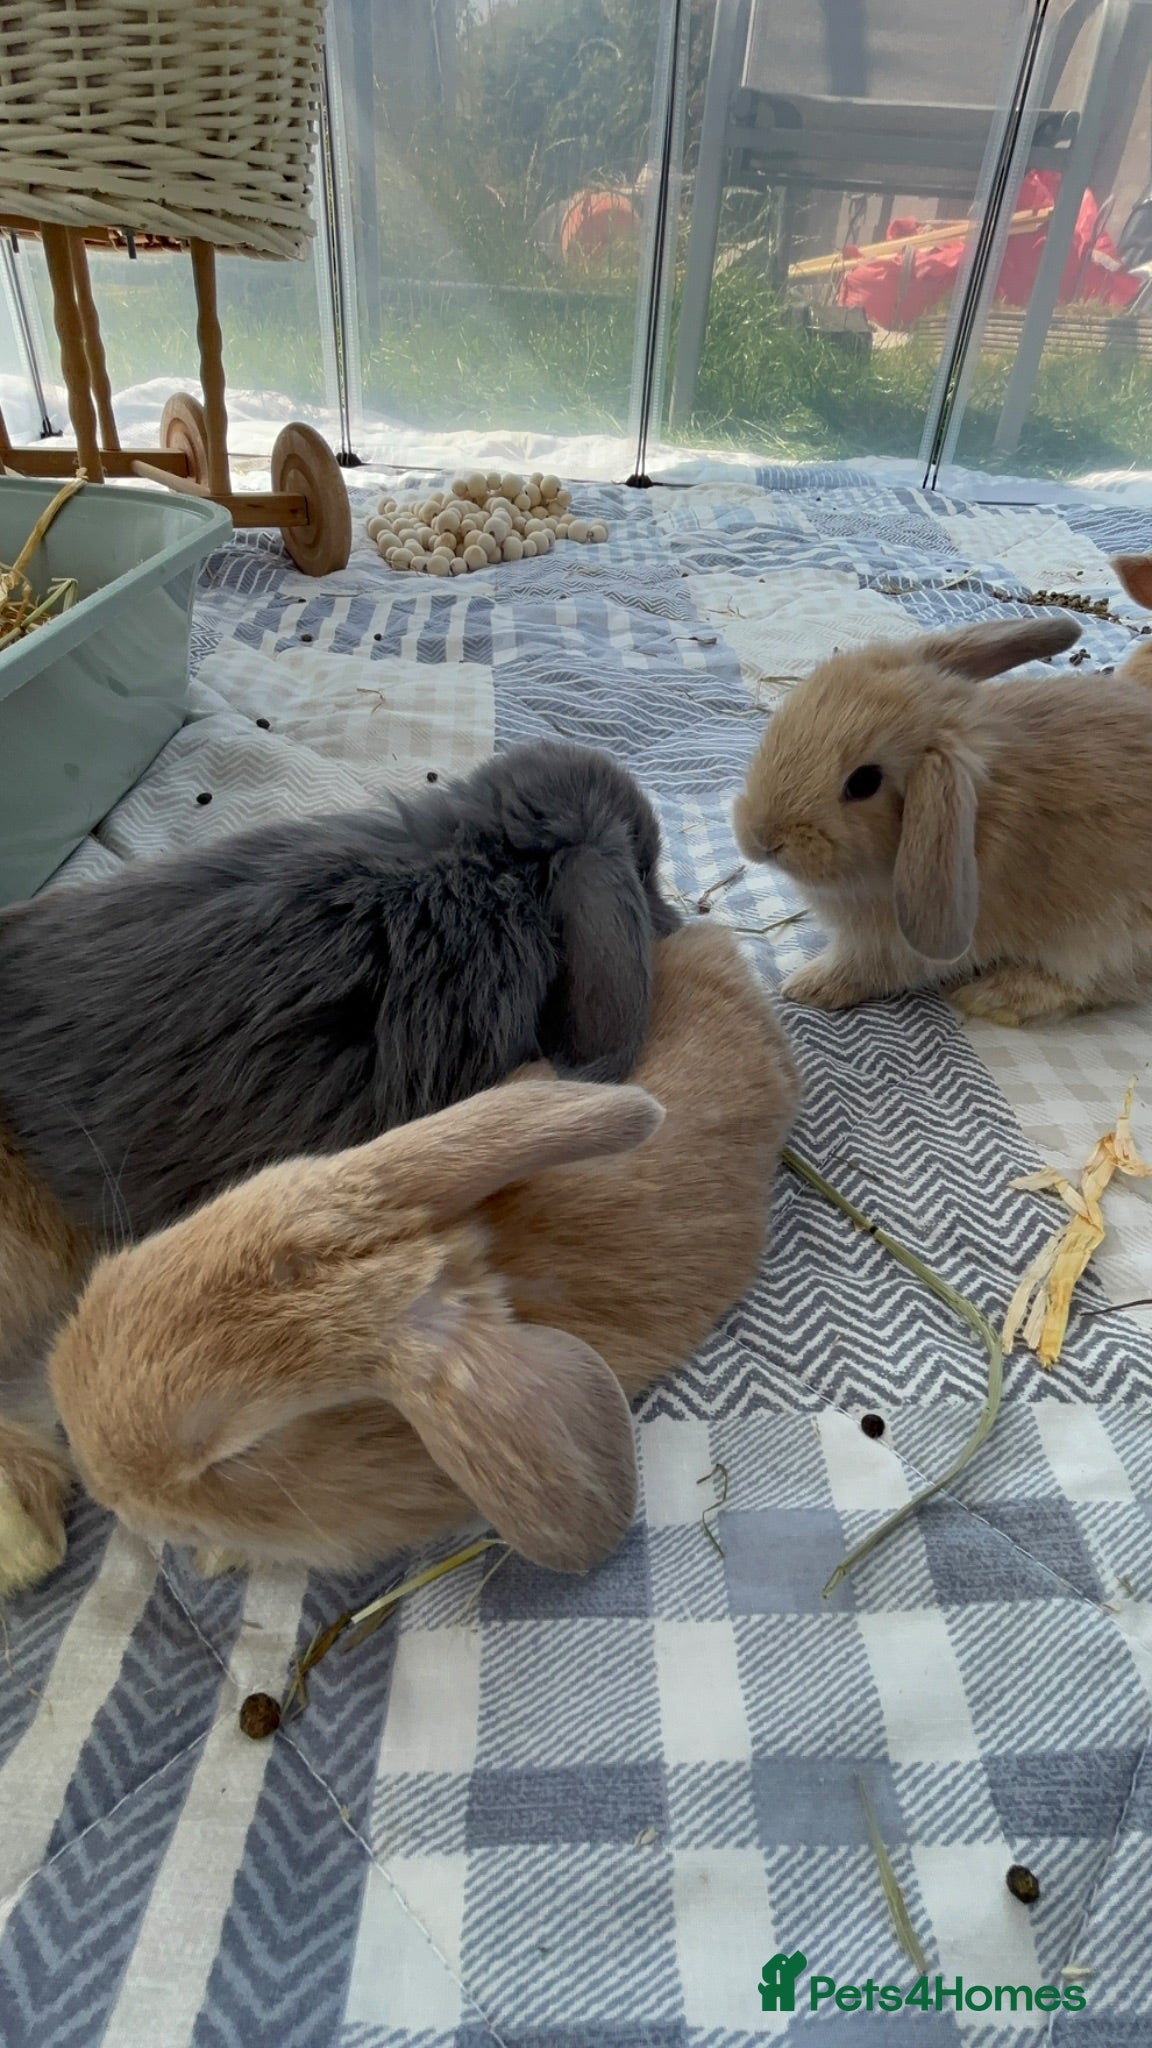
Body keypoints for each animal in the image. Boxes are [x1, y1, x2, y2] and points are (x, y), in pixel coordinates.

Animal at [729, 609, 1152, 1026]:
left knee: (1087, 985)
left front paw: (803, 987)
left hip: (1103, 940)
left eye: (864, 783)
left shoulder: (887, 947)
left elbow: (859, 971)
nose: (759, 839)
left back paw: (989, 997)